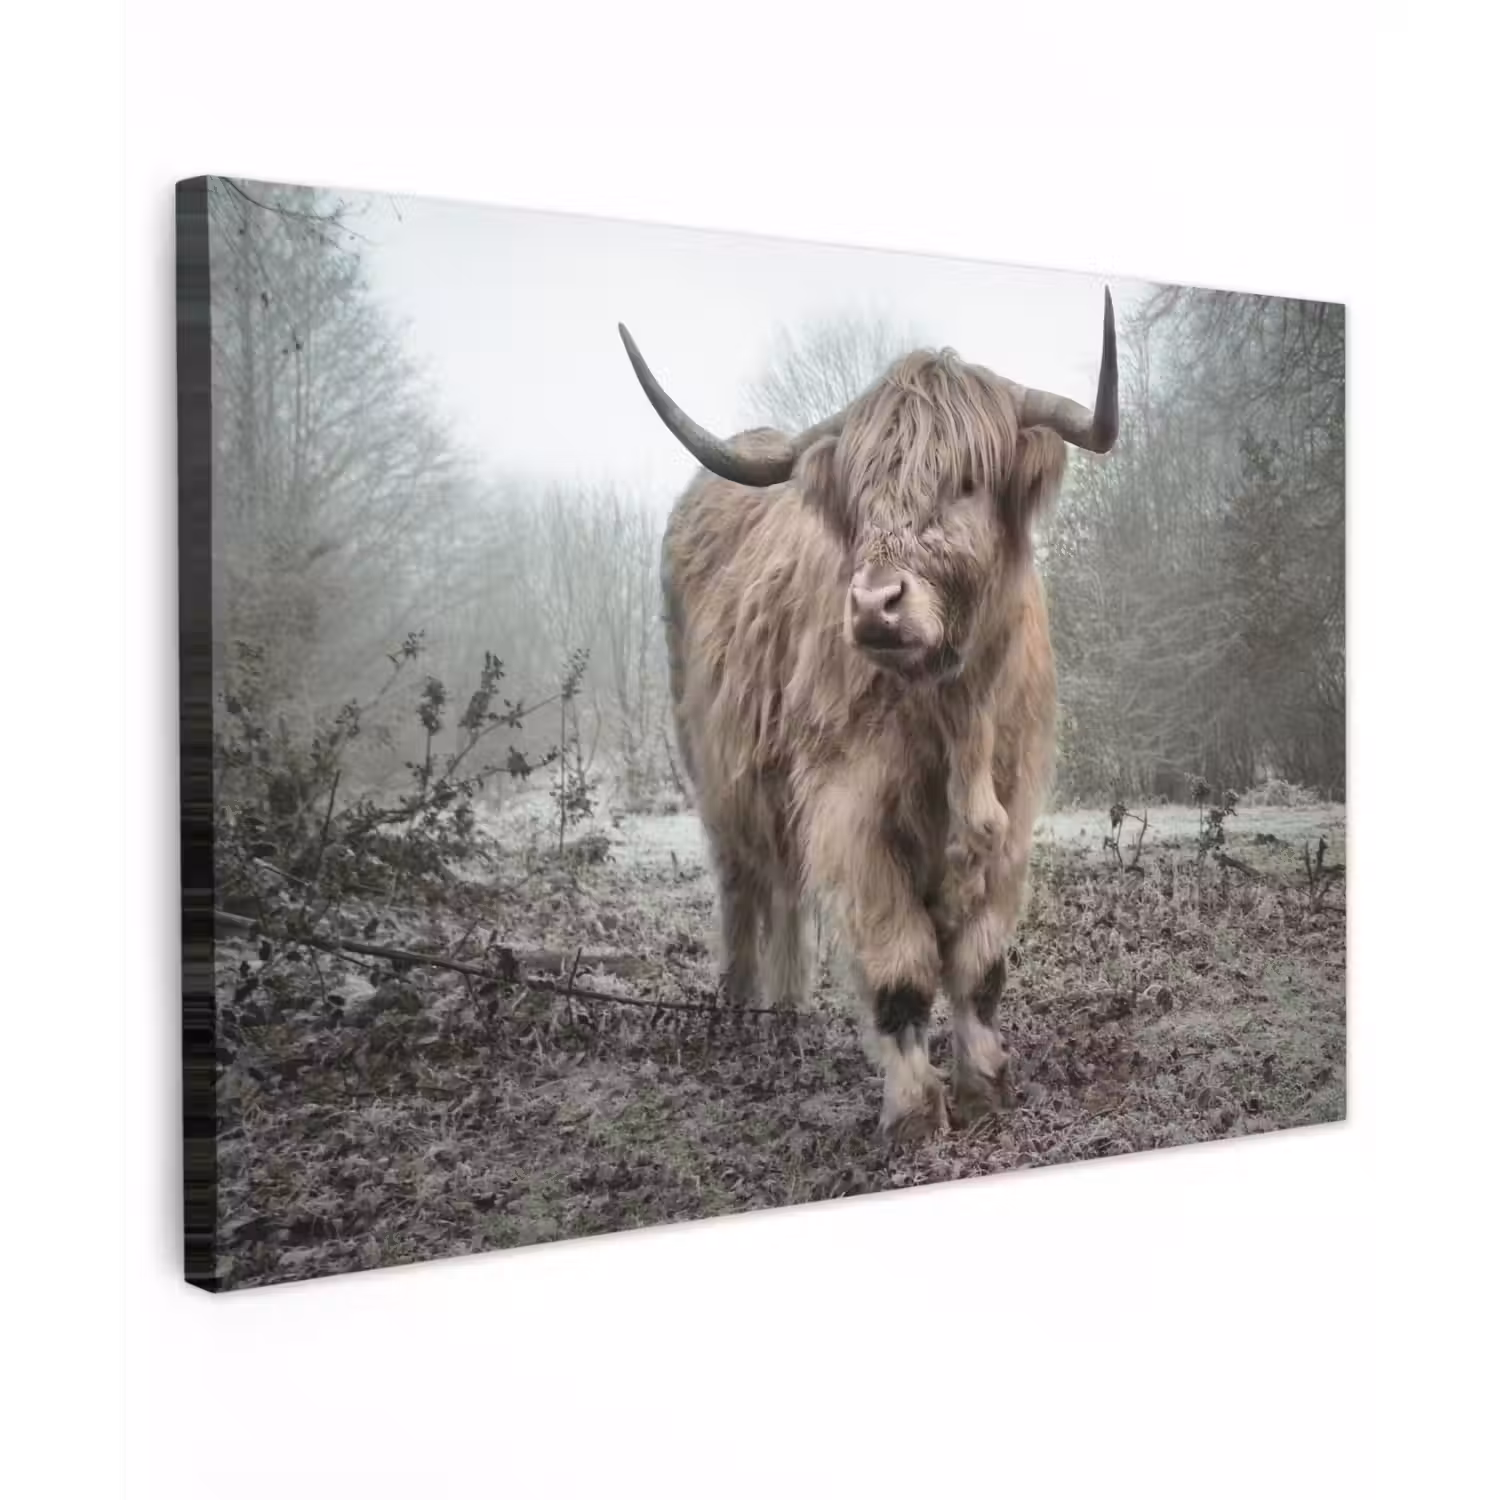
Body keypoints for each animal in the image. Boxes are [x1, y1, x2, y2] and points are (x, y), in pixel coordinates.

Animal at [617, 292, 1118, 1143]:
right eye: (861, 493)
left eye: (967, 481)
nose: (876, 605)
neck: (954, 713)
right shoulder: (851, 812)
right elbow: (901, 968)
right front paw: (914, 1109)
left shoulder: (1014, 810)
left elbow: (980, 966)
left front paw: (985, 1086)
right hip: (717, 777)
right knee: (744, 887)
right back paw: (741, 1013)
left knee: (785, 891)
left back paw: (785, 1013)